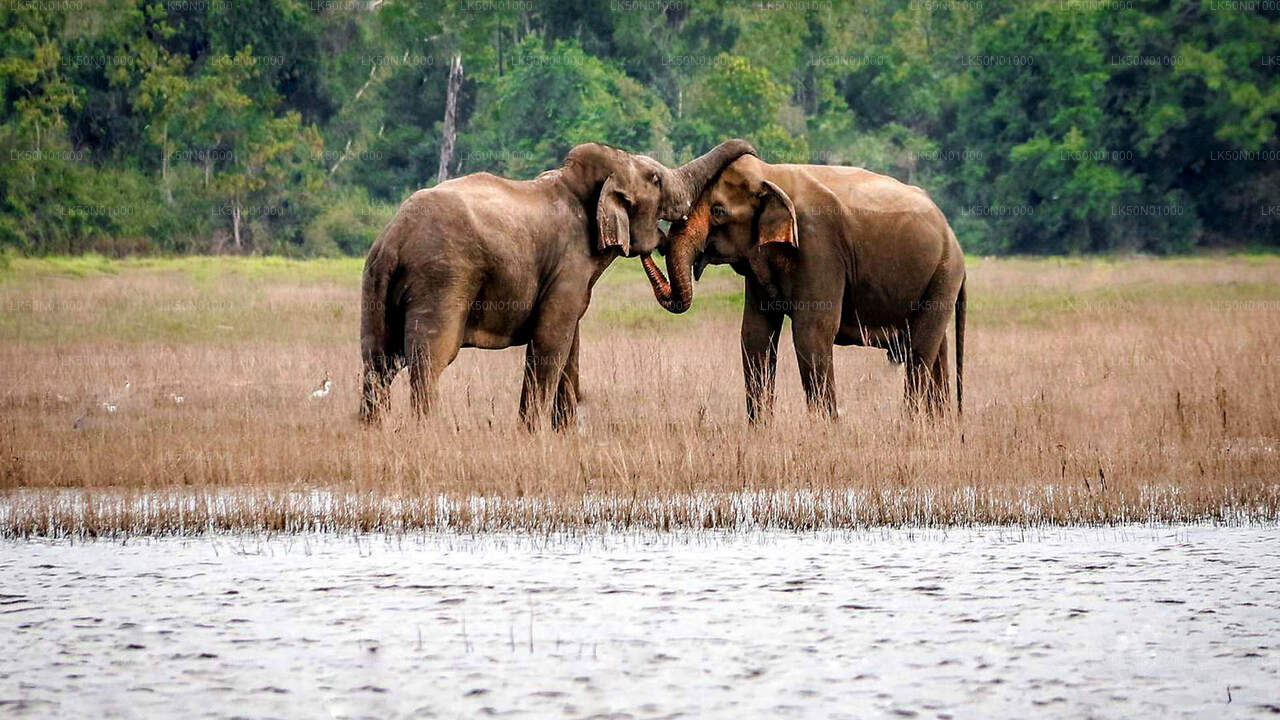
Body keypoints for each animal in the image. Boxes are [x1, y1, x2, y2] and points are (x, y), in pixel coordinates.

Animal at [358, 139, 757, 425]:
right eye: (657, 180)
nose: (752, 154)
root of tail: (394, 238)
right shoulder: (570, 262)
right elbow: (551, 341)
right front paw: (531, 434)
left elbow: (569, 345)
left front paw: (563, 432)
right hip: (442, 281)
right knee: (428, 362)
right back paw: (427, 431)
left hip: (374, 283)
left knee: (377, 362)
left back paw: (372, 430)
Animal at [645, 151, 962, 420]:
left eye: (718, 211)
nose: (653, 244)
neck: (770, 173)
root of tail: (948, 228)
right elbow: (755, 335)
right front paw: (760, 434)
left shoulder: (819, 247)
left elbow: (812, 332)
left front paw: (826, 433)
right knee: (937, 350)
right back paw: (938, 427)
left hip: (944, 275)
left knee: (920, 350)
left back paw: (910, 426)